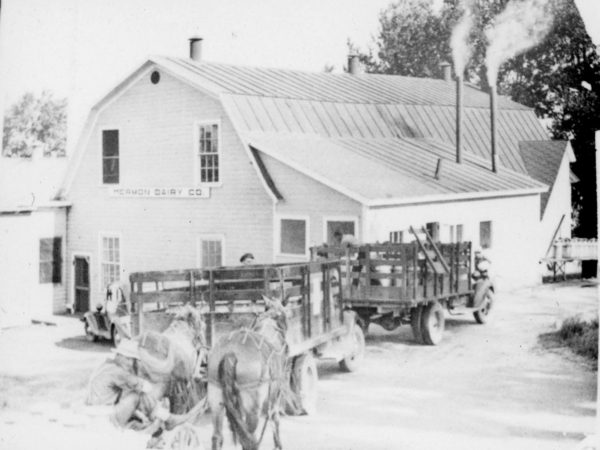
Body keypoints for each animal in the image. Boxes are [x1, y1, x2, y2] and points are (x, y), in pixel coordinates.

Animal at [207, 296, 290, 450]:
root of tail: (230, 352)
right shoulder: (276, 394)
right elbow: (275, 419)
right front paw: (278, 444)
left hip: (216, 398)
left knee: (217, 437)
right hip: (252, 407)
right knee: (250, 440)